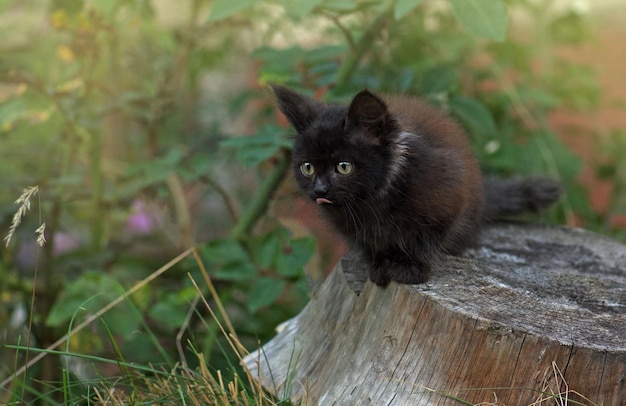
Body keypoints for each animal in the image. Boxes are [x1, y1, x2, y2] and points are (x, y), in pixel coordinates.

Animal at [270, 85, 560, 288]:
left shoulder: (449, 193)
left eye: (343, 166)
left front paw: (411, 269)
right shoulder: (350, 226)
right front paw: (378, 267)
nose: (319, 189)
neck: (372, 203)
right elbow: (368, 245)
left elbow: (426, 239)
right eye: (307, 167)